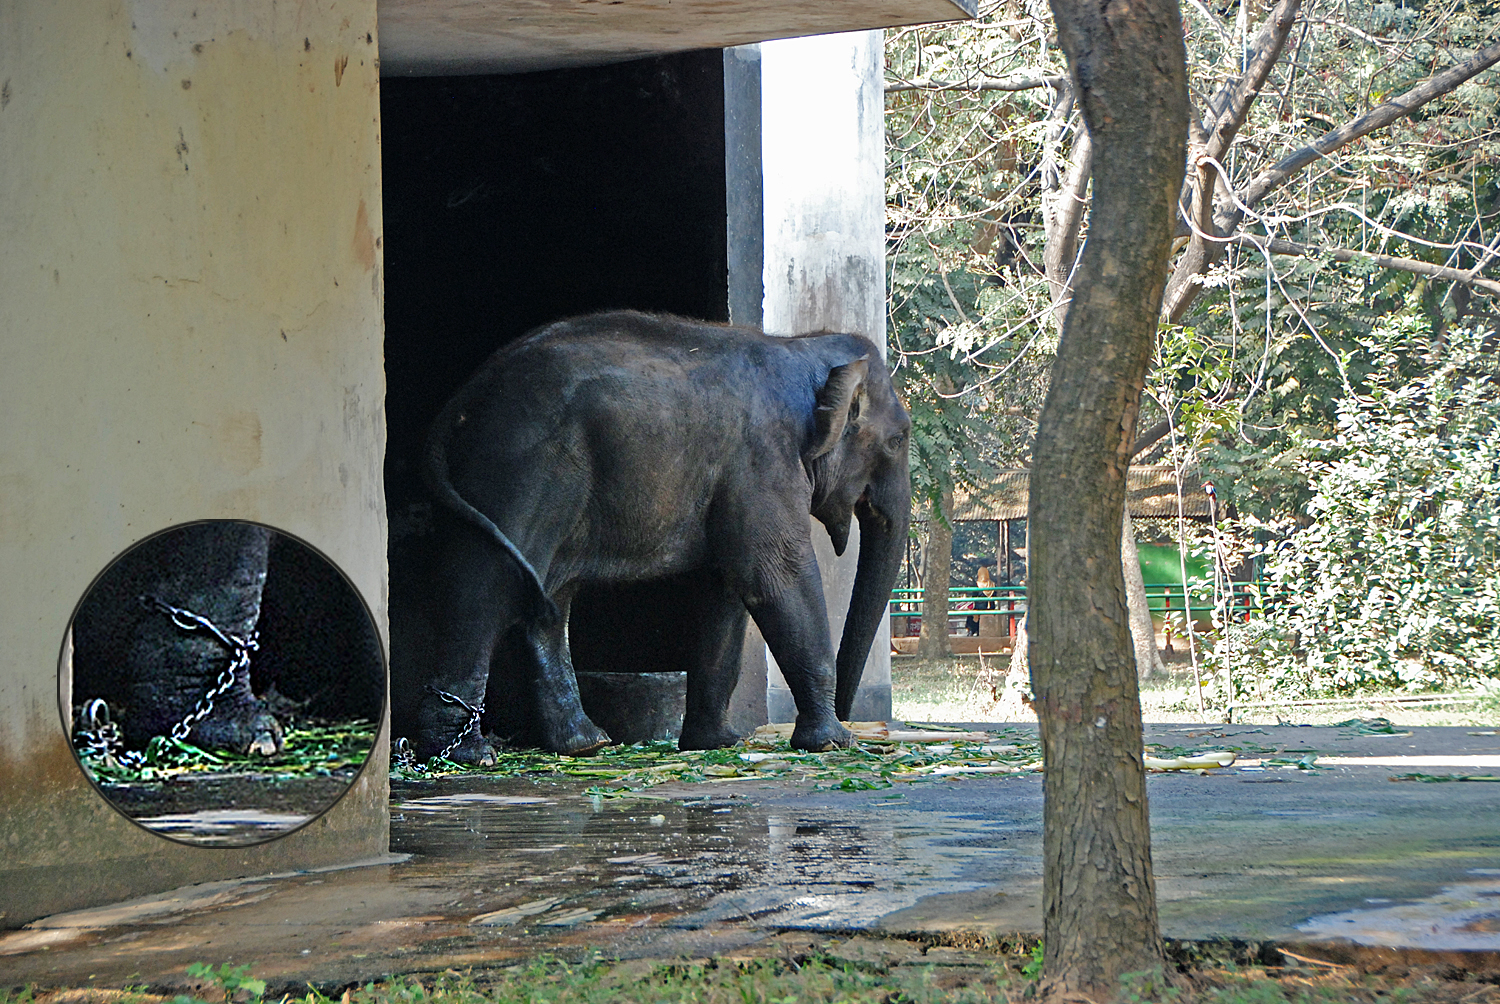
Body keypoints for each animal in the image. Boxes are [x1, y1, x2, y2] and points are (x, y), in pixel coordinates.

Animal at [411, 309, 906, 756]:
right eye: (899, 440)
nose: (858, 720)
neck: (800, 346)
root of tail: (460, 402)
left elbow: (725, 590)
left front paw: (716, 744)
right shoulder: (764, 457)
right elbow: (773, 572)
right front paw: (833, 744)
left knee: (549, 598)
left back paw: (585, 745)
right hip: (518, 467)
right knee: (487, 586)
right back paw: (466, 753)